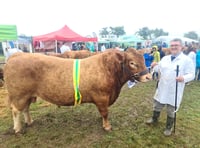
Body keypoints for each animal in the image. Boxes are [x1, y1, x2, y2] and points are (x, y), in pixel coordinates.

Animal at [3, 48, 150, 133]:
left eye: (143, 59)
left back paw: (29, 122)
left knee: (25, 109)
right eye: (132, 63)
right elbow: (105, 113)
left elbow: (103, 113)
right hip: (19, 95)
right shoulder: (102, 97)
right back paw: (18, 128)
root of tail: (16, 55)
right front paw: (107, 126)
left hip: (27, 95)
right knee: (16, 111)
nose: (148, 76)